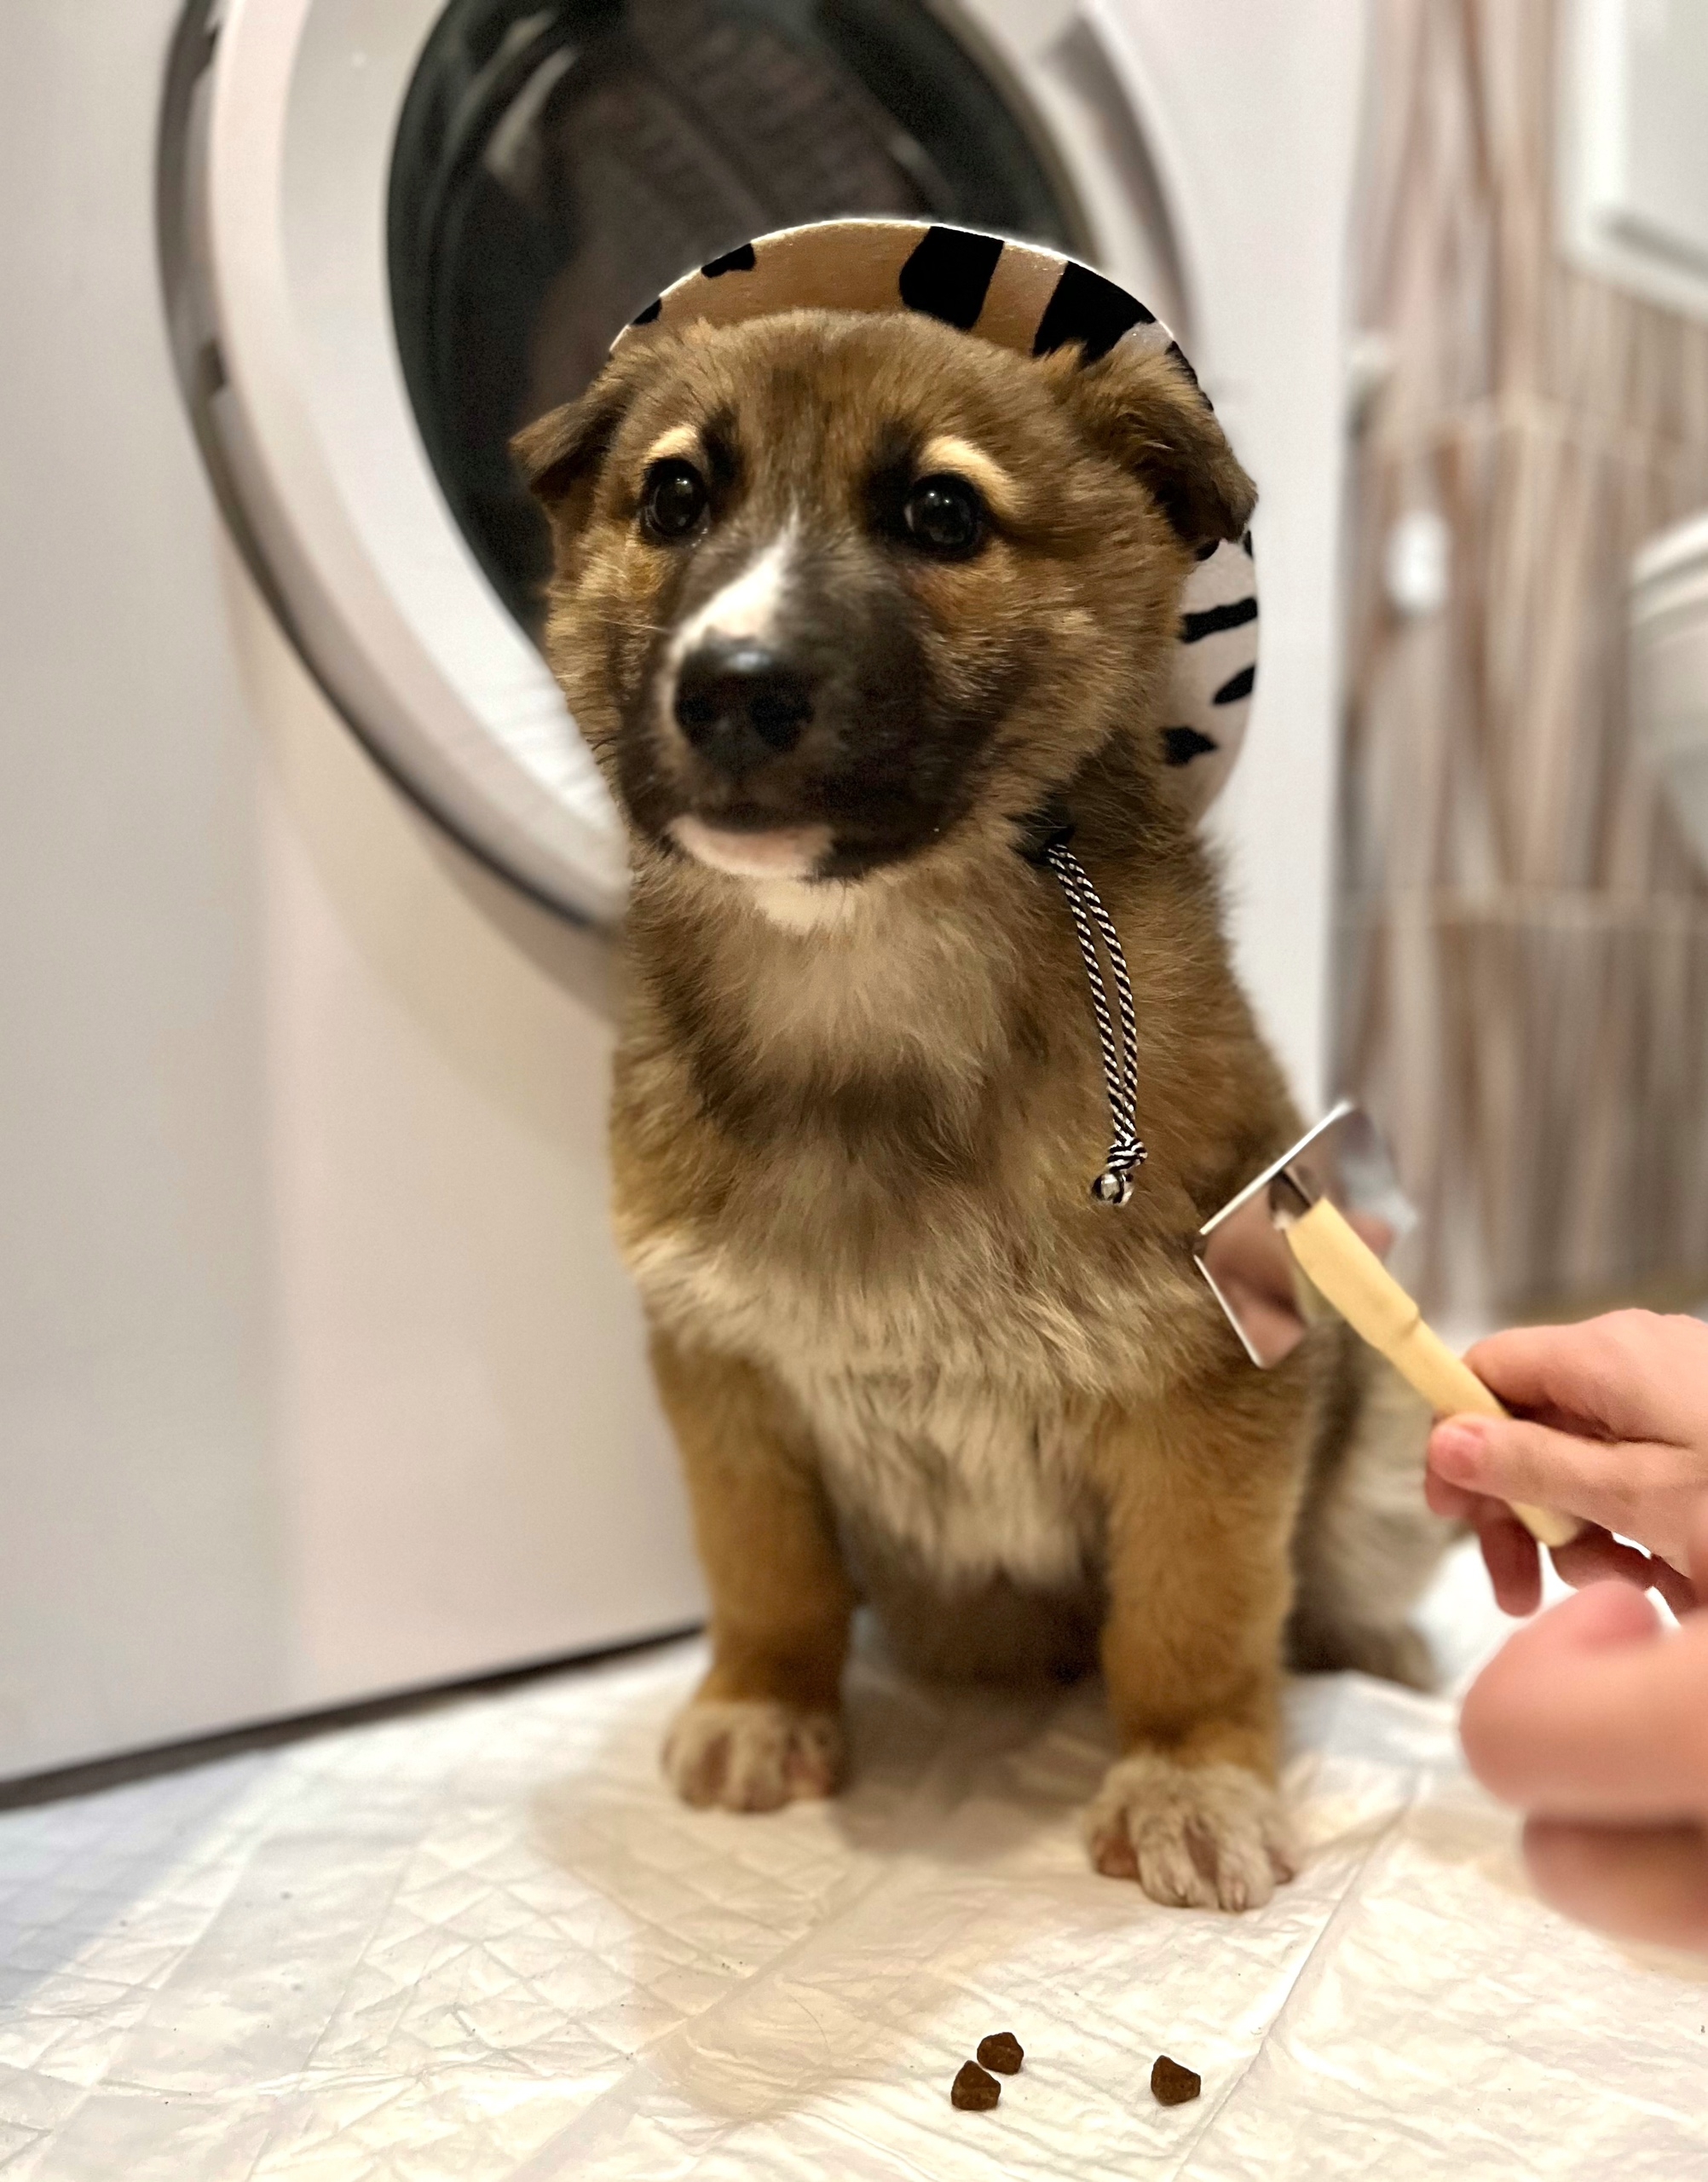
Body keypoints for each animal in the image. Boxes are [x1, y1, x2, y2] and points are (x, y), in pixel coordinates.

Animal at [515, 297, 1449, 1910]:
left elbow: (1197, 1611)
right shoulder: (723, 1376)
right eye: (673, 498)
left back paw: (1371, 1644)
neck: (869, 984)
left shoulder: (1215, 1378)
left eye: (941, 512)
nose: (731, 685)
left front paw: (1189, 1774)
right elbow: (763, 1573)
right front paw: (760, 1703)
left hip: (1383, 1422)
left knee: (1325, 1573)